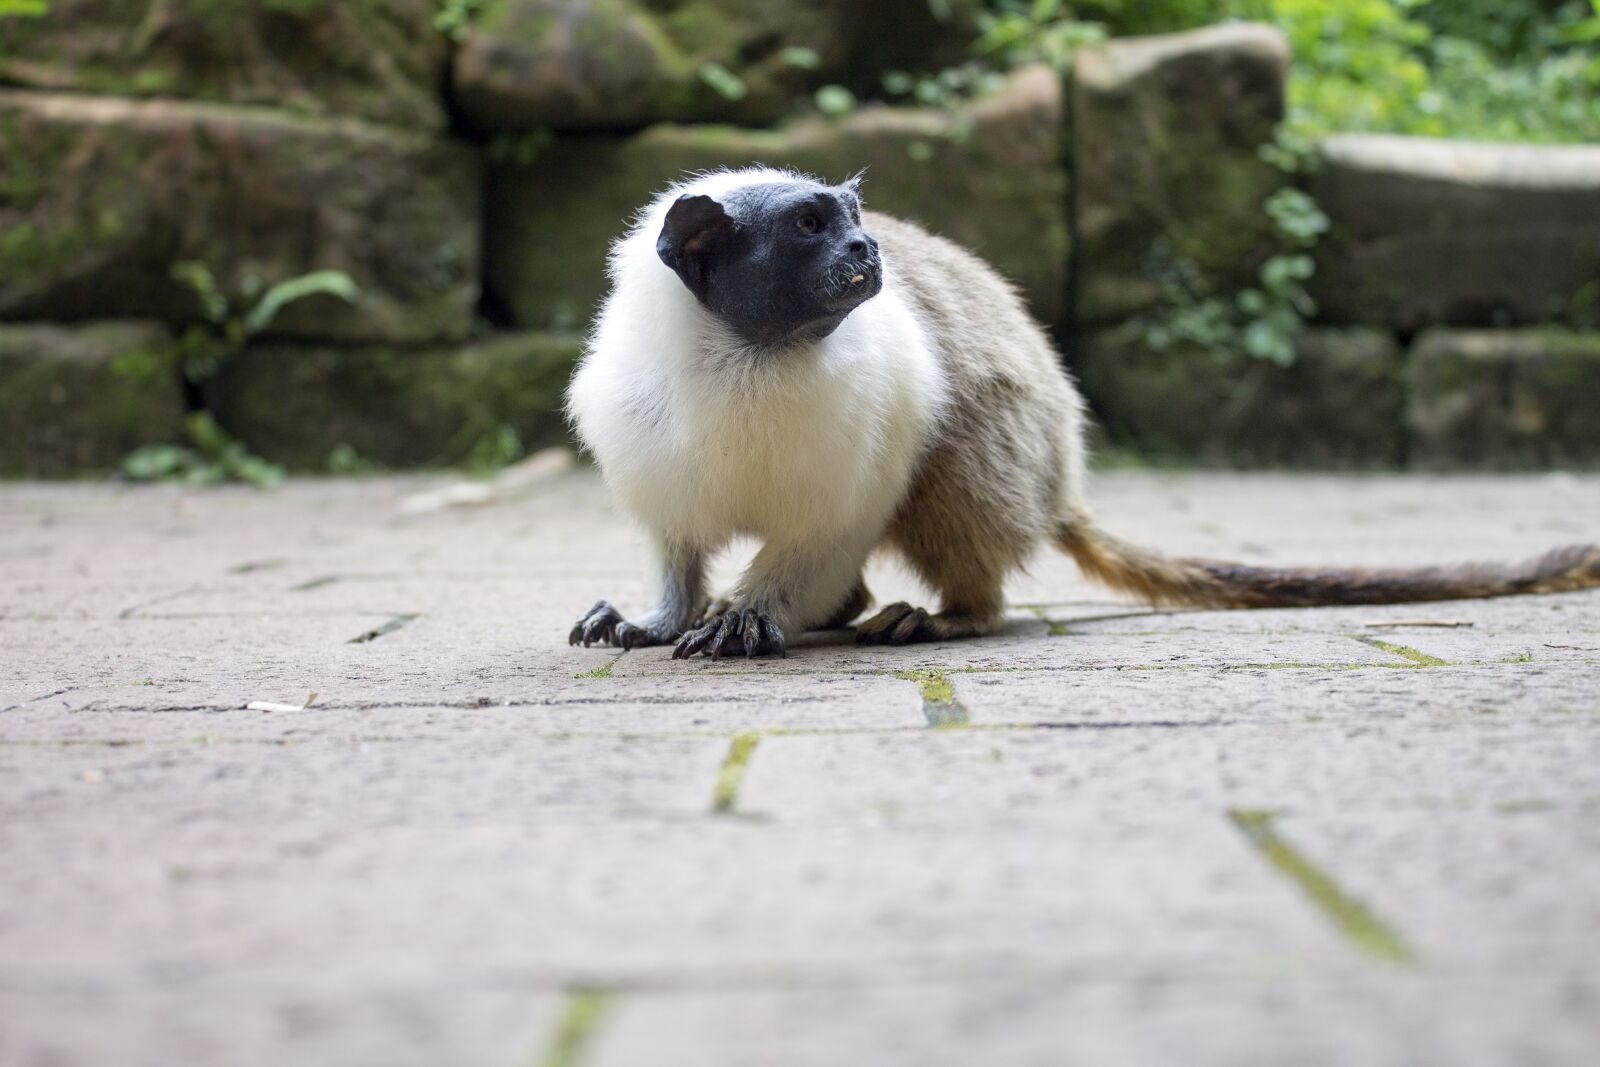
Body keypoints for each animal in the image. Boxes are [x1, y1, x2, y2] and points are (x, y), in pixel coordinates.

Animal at [565, 167, 1600, 660]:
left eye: (851, 221)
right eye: (810, 229)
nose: (867, 249)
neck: (749, 362)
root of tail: (1060, 476)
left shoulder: (858, 438)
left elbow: (828, 529)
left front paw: (751, 615)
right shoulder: (646, 427)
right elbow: (674, 545)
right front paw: (661, 617)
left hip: (1009, 448)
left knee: (954, 473)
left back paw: (949, 615)